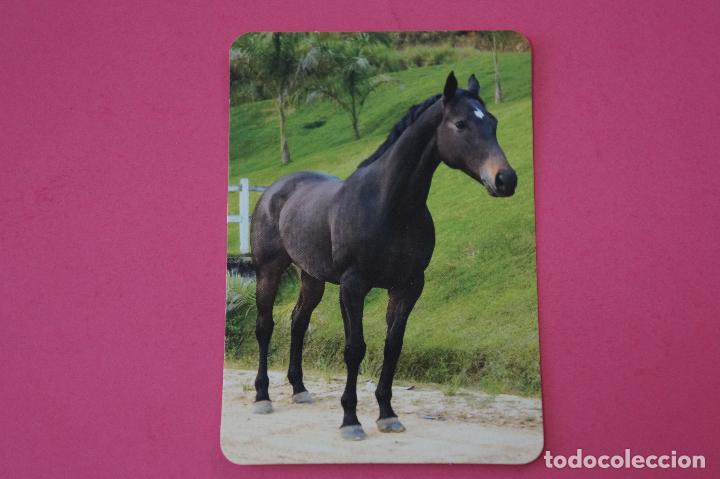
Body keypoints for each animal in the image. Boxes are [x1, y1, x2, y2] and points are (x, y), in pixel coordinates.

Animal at [249, 71, 517, 440]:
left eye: (492, 121)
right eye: (461, 124)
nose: (505, 179)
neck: (389, 206)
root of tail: (274, 190)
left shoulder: (408, 286)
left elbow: (393, 347)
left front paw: (387, 414)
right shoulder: (354, 286)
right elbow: (355, 348)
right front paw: (351, 420)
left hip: (312, 278)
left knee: (298, 322)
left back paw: (299, 389)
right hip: (268, 271)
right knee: (265, 326)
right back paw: (262, 396)